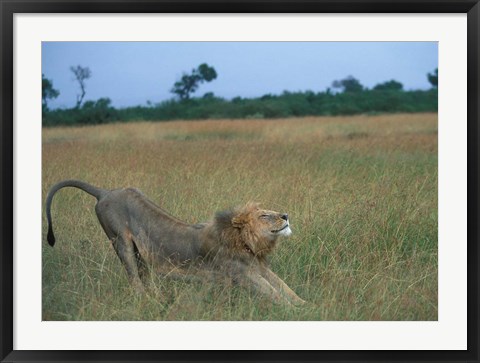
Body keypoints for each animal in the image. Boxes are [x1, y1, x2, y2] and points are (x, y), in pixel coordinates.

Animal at [46, 181, 308, 306]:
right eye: (264, 215)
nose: (285, 215)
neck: (246, 243)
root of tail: (105, 192)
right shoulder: (242, 273)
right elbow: (273, 293)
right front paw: (297, 312)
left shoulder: (259, 267)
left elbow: (285, 288)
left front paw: (306, 303)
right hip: (120, 241)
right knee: (134, 279)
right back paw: (147, 301)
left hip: (139, 252)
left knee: (143, 275)